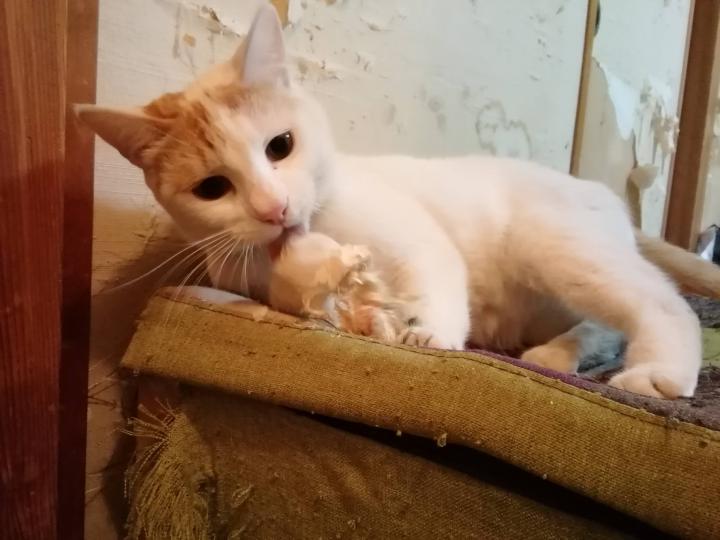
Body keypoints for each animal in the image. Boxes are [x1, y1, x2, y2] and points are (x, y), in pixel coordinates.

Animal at [77, 5, 720, 399]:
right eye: (213, 188)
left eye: (280, 146)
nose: (272, 208)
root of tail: (599, 192)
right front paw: (367, 315)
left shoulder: (416, 237)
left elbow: (434, 278)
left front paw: (429, 333)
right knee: (606, 326)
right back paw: (555, 354)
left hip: (555, 246)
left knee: (662, 303)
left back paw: (657, 373)